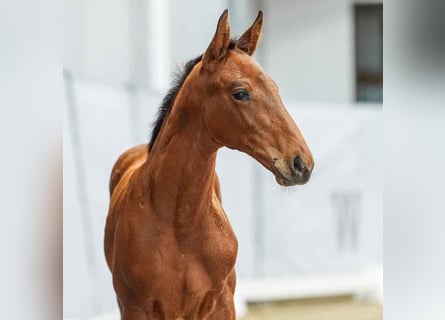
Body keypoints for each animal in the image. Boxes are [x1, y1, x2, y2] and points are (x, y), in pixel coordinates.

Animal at [103, 10, 312, 320]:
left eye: (274, 87)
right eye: (241, 93)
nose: (301, 163)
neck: (180, 226)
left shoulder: (221, 303)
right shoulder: (136, 308)